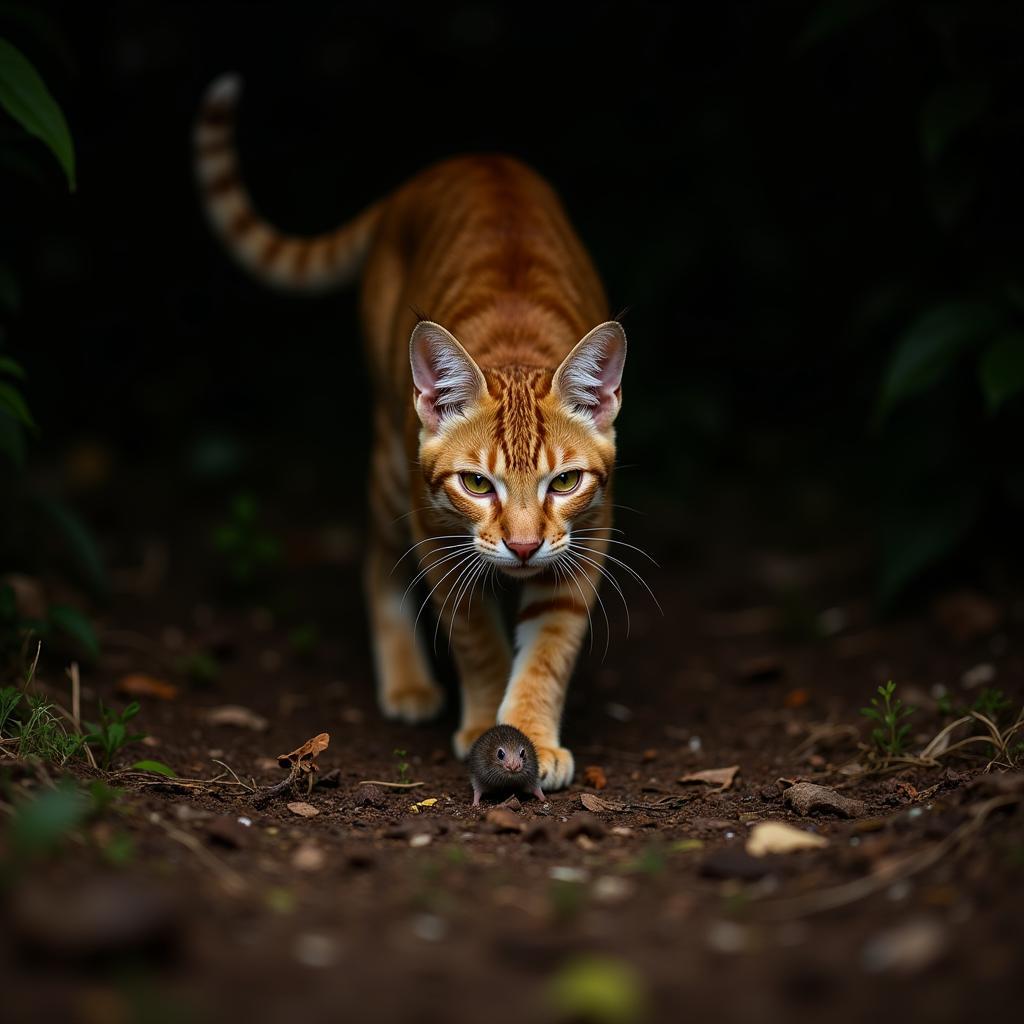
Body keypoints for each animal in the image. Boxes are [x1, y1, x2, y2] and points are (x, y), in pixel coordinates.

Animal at [192, 75, 622, 790]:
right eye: (476, 482)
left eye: (564, 482)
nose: (525, 547)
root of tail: (457, 163)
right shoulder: (436, 537)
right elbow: (478, 639)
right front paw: (485, 727)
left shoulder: (585, 541)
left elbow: (548, 652)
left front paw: (532, 734)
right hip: (391, 468)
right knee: (374, 557)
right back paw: (407, 680)